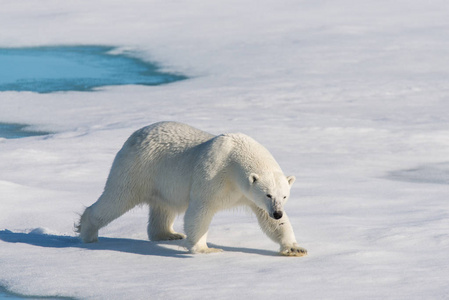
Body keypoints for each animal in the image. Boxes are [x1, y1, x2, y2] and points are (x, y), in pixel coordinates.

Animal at [78, 120, 308, 256]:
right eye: (268, 194)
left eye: (284, 196)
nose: (277, 212)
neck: (235, 157)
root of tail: (134, 135)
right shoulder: (214, 174)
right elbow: (200, 211)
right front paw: (207, 249)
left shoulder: (249, 195)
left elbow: (270, 222)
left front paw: (295, 248)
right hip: (138, 168)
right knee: (117, 198)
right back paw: (88, 232)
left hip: (162, 181)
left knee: (163, 207)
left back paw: (169, 234)